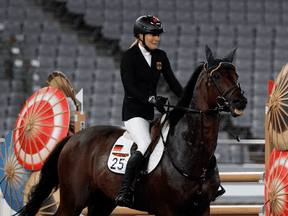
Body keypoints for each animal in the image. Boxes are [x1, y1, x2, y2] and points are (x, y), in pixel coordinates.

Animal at [16, 45, 248, 216]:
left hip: (102, 200)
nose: (240, 102)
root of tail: (74, 138)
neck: (192, 152)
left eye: (236, 74)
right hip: (74, 199)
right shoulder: (166, 210)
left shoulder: (202, 208)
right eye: (216, 76)